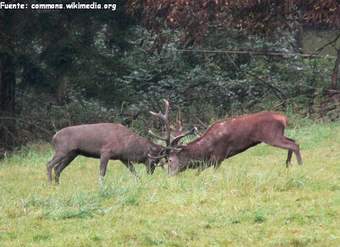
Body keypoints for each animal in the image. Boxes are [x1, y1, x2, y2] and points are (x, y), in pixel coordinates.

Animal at [154, 111, 302, 177]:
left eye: (170, 160)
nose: (169, 176)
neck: (206, 149)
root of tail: (283, 118)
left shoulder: (219, 155)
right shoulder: (210, 160)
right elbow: (199, 171)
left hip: (271, 135)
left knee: (294, 145)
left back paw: (300, 165)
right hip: (279, 134)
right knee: (294, 140)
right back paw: (287, 164)